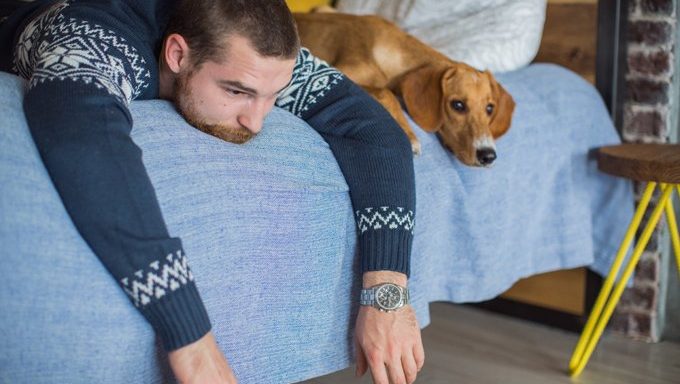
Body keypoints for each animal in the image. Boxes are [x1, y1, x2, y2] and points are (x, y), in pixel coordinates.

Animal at [294, 12, 516, 166]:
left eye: (489, 108)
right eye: (458, 105)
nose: (488, 155)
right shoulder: (336, 72)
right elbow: (386, 92)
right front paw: (409, 135)